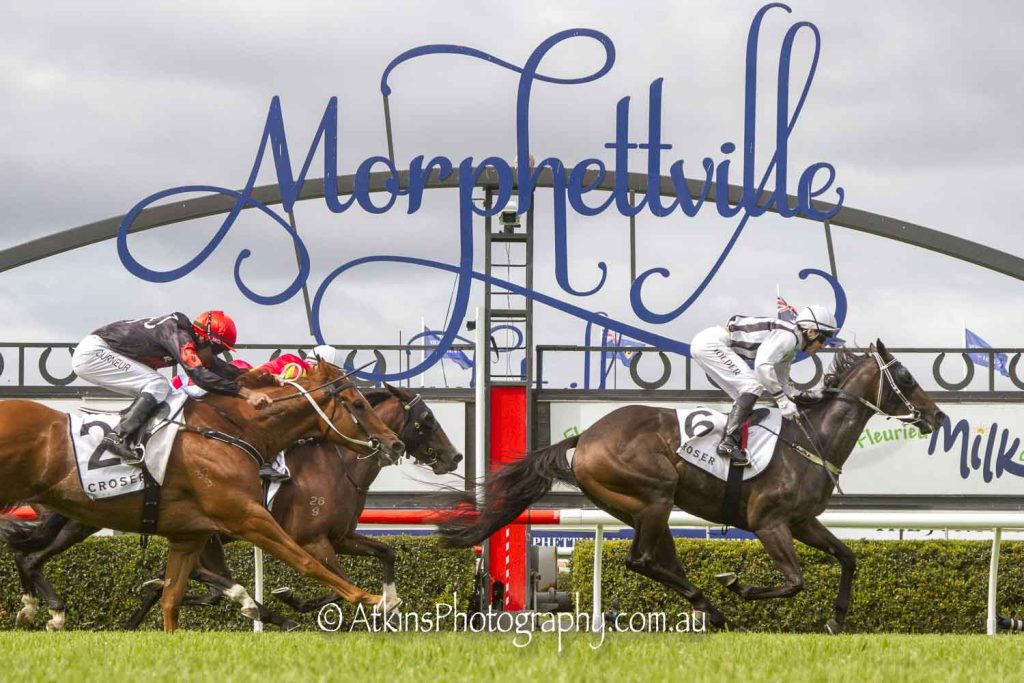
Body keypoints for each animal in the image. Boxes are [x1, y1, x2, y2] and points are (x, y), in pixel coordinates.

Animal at [2, 384, 462, 631]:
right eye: (426, 421)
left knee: (31, 556)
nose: (454, 456)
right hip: (87, 519)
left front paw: (389, 602)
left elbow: (387, 551)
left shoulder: (341, 535)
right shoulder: (311, 539)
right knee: (34, 555)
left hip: (89, 519)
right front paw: (296, 602)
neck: (338, 464)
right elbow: (331, 579)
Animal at [439, 341, 946, 632]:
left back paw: (711, 611)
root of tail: (584, 437)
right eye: (905, 377)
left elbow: (848, 557)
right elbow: (795, 580)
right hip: (654, 495)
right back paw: (718, 606)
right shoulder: (769, 523)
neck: (810, 437)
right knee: (643, 559)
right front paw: (741, 585)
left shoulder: (803, 522)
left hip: (642, 507)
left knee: (660, 560)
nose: (938, 416)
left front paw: (837, 619)